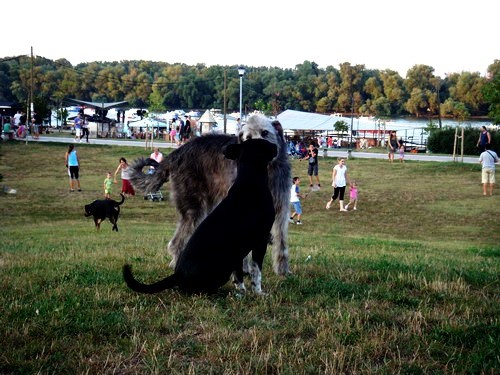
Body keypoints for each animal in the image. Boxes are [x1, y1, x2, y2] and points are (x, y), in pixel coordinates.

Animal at [122, 140, 278, 296]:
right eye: (266, 143)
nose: (277, 146)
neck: (249, 181)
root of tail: (176, 275)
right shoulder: (260, 241)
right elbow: (257, 272)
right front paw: (259, 292)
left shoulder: (239, 249)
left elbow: (240, 275)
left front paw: (242, 291)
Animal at [129, 114, 292, 276]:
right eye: (248, 138)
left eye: (265, 133)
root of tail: (176, 153)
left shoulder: (280, 206)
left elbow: (281, 238)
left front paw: (282, 270)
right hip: (193, 205)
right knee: (177, 241)